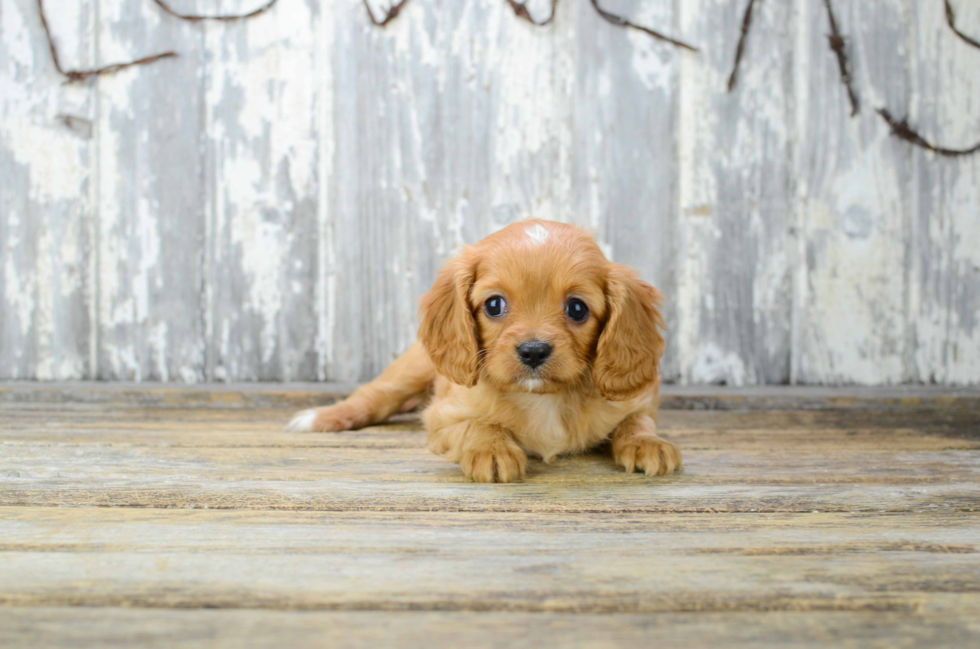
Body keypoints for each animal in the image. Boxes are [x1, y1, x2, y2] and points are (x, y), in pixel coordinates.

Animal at [284, 218, 680, 480]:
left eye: (577, 309)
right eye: (494, 305)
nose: (533, 351)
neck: (543, 400)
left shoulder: (637, 400)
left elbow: (637, 421)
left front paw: (648, 443)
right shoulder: (443, 417)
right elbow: (478, 424)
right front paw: (492, 449)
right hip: (409, 372)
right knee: (371, 397)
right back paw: (321, 418)